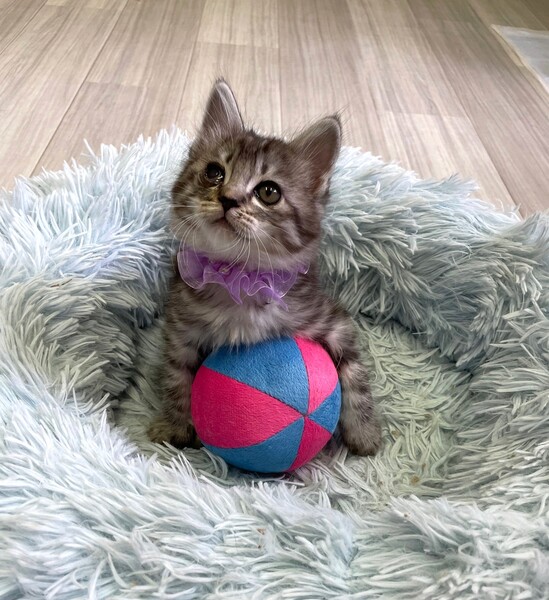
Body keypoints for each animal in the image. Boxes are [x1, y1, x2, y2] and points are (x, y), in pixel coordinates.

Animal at [148, 79, 381, 457]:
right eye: (214, 172)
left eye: (268, 192)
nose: (227, 198)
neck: (239, 277)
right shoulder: (180, 328)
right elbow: (175, 376)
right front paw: (173, 424)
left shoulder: (332, 320)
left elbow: (355, 373)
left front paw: (364, 431)